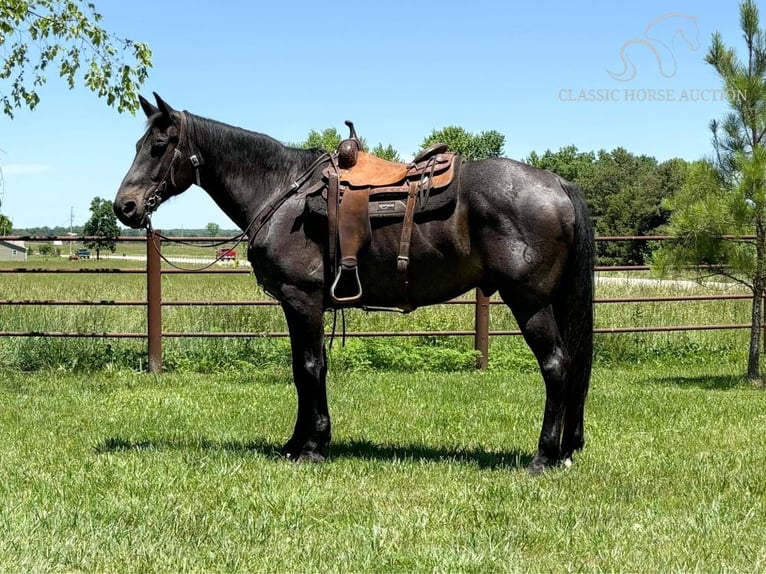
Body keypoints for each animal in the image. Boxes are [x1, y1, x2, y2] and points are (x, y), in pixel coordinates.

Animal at [114, 93, 596, 472]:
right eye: (137, 144)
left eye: (158, 146)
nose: (125, 206)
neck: (281, 192)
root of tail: (557, 182)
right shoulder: (301, 306)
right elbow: (305, 370)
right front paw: (297, 443)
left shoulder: (302, 300)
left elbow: (309, 368)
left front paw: (311, 447)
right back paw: (564, 450)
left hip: (530, 303)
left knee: (556, 366)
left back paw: (543, 456)